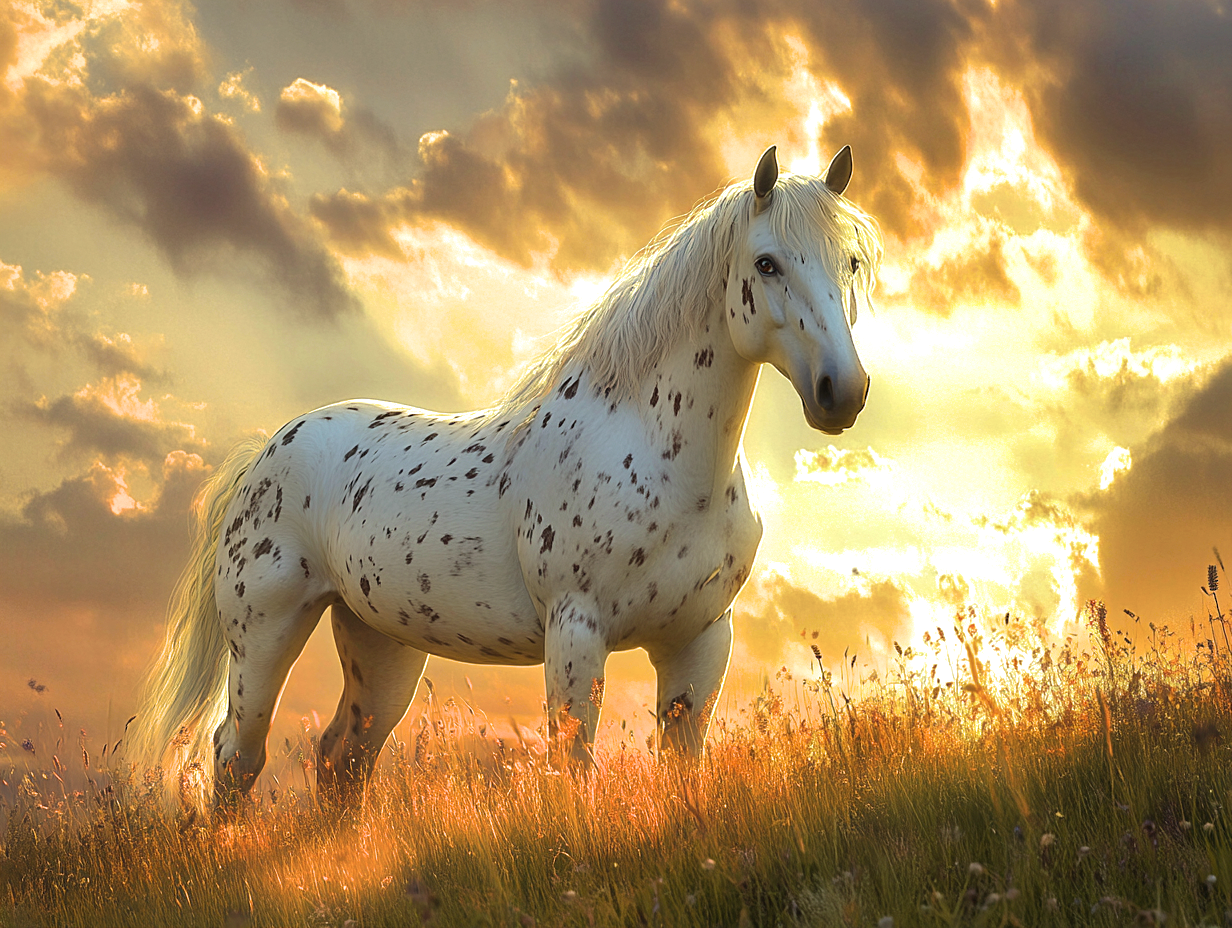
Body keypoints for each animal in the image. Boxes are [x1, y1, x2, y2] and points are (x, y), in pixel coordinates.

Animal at [129, 145, 883, 810]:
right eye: (766, 262)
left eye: (850, 261)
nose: (841, 391)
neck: (659, 460)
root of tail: (266, 451)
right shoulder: (576, 632)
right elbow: (573, 768)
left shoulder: (700, 640)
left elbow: (680, 770)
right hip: (264, 637)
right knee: (237, 758)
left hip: (382, 645)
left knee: (342, 760)